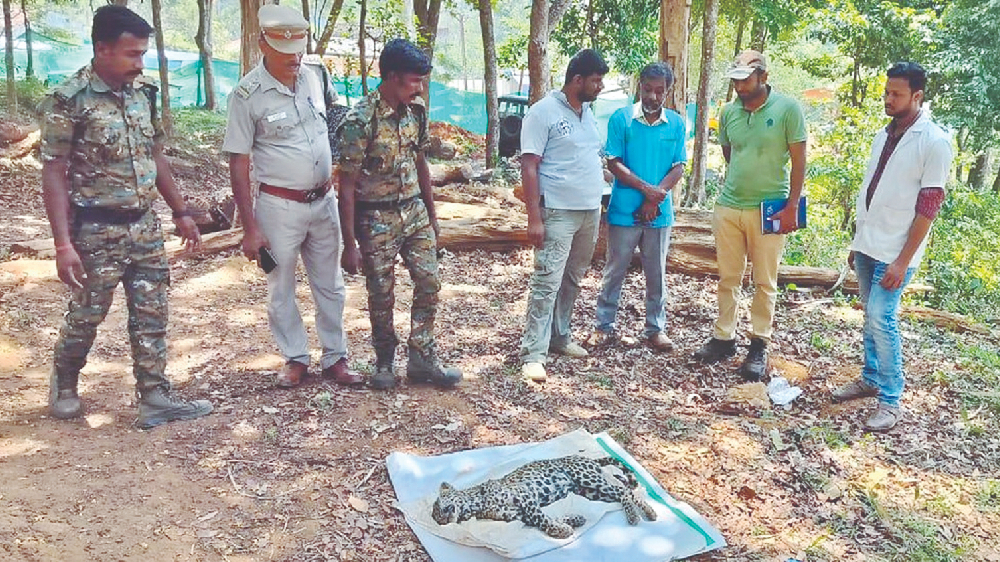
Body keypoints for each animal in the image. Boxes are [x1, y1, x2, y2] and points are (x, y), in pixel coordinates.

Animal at [430, 454, 657, 538]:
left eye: (439, 504)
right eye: (437, 518)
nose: (443, 518)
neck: (477, 505)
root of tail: (590, 458)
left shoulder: (525, 497)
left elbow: (541, 519)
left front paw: (562, 530)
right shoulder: (520, 515)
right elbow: (545, 519)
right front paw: (572, 522)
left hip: (587, 479)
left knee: (625, 491)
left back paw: (643, 514)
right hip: (592, 493)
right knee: (621, 493)